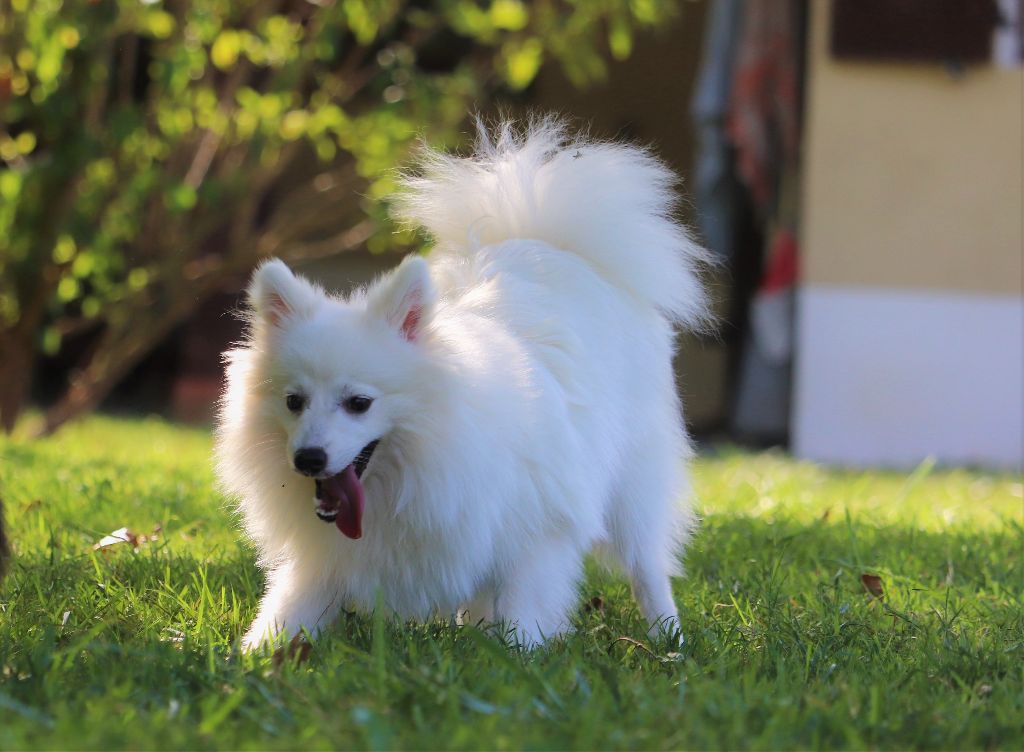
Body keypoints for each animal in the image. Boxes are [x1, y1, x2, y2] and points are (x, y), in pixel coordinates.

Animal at [217, 120, 708, 651]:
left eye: (359, 403)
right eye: (293, 401)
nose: (308, 459)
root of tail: (540, 240)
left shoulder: (536, 531)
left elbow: (523, 615)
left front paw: (519, 656)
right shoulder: (330, 560)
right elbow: (287, 610)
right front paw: (254, 655)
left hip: (632, 485)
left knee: (647, 566)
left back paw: (670, 639)